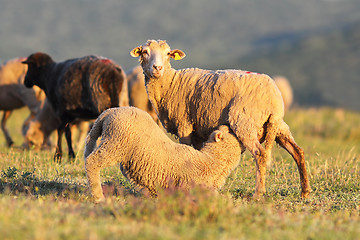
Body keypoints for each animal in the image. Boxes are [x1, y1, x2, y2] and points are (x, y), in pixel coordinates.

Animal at [83, 107, 242, 202]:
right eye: (229, 132)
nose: (227, 124)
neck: (211, 161)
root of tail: (109, 112)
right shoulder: (188, 186)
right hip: (116, 142)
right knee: (92, 162)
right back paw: (98, 197)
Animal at [131, 39, 310, 199]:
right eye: (145, 52)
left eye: (168, 53)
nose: (157, 68)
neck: (170, 83)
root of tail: (273, 96)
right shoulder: (197, 131)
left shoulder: (185, 125)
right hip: (278, 125)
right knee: (298, 151)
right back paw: (305, 192)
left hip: (245, 122)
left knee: (260, 154)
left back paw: (258, 194)